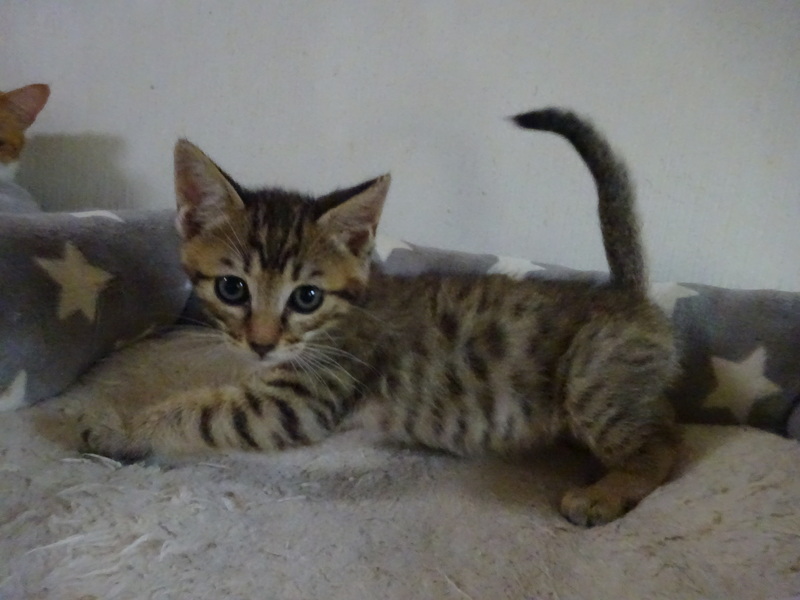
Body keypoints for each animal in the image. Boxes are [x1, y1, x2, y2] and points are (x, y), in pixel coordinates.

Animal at [81, 108, 680, 527]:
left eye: (306, 297)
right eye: (232, 288)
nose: (262, 342)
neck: (335, 319)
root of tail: (627, 292)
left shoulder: (299, 401)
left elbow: (201, 413)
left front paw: (125, 430)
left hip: (593, 386)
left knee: (664, 449)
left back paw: (604, 493)